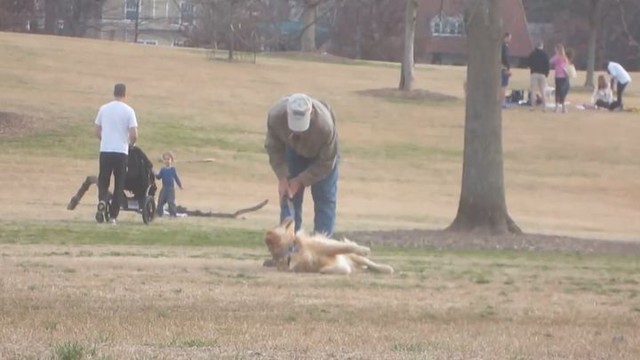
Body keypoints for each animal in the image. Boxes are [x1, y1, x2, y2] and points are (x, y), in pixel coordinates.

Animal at [262, 218, 392, 274]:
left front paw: (363, 249)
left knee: (370, 263)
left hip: (355, 257)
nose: (289, 215)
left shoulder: (323, 247)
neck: (292, 250)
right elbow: (337, 269)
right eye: (278, 224)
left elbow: (344, 247)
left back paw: (385, 268)